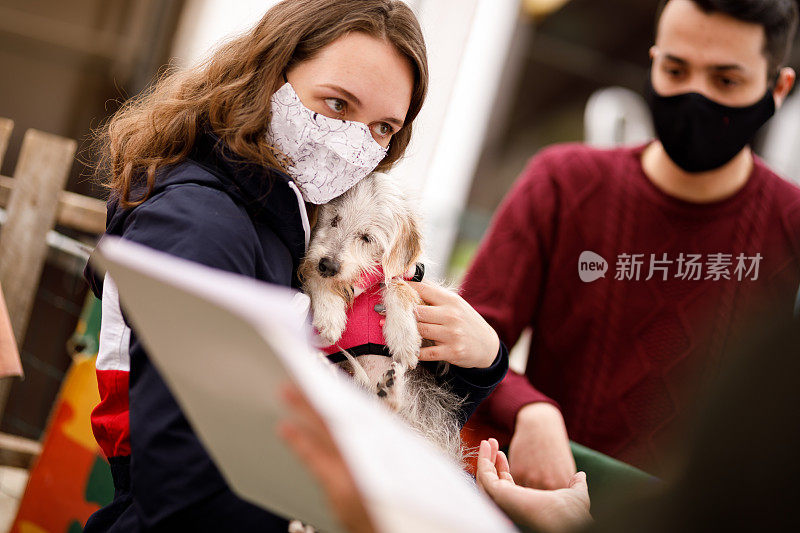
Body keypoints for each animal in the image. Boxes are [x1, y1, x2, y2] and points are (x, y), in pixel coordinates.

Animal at [298, 171, 462, 462]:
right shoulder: (312, 268)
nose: (328, 265)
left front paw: (404, 338)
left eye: (366, 238)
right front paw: (330, 315)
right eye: (335, 219)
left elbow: (398, 285)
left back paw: (389, 388)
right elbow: (315, 279)